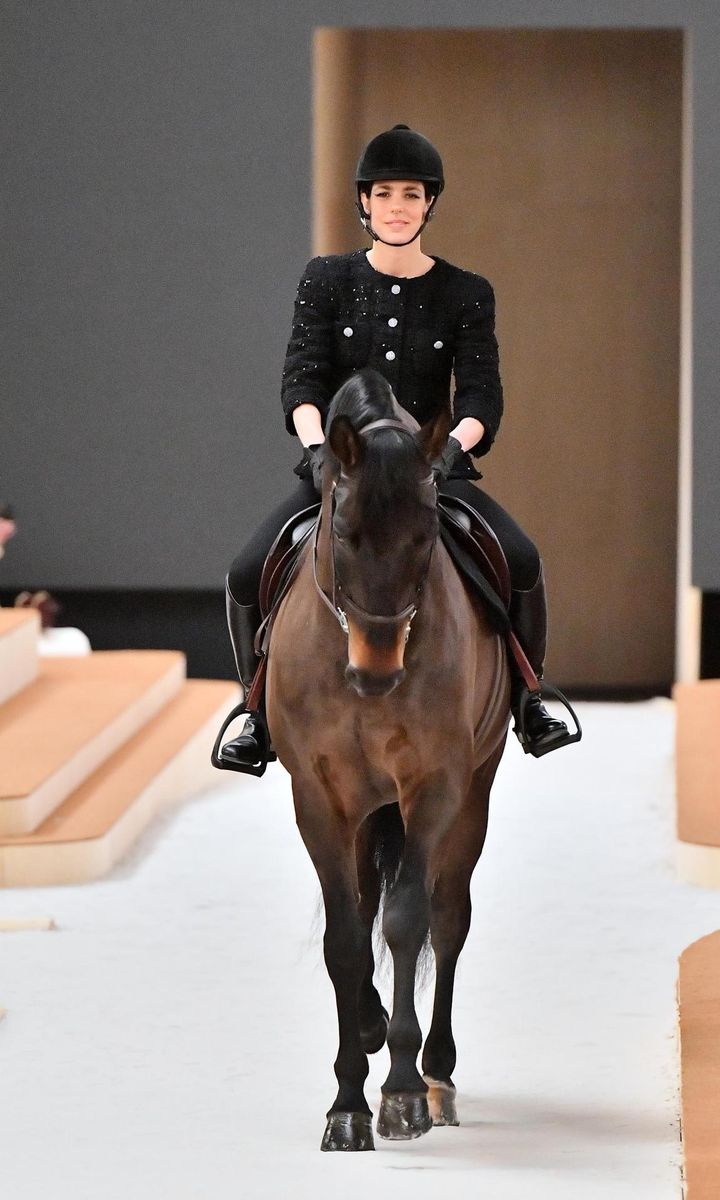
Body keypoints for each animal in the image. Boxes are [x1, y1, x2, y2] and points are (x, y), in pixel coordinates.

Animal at [265, 367, 511, 1152]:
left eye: (427, 535)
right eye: (342, 532)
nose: (376, 675)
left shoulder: (432, 786)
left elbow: (407, 922)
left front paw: (400, 1093)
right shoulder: (318, 796)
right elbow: (346, 939)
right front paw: (347, 1101)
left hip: (472, 792)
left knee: (448, 915)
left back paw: (436, 1075)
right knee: (369, 900)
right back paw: (373, 1029)